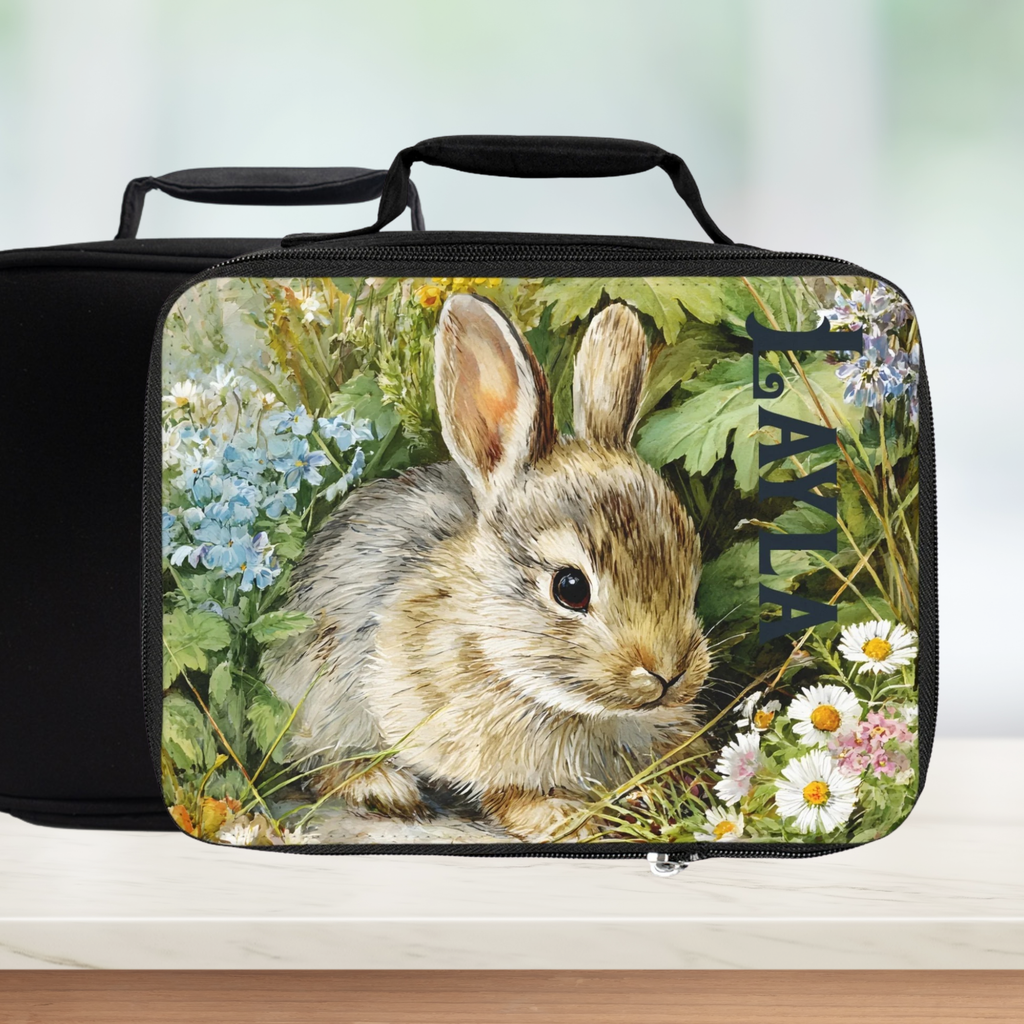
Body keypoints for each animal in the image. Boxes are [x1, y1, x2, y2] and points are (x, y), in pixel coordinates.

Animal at [262, 293, 711, 841]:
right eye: (570, 588)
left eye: (689, 559)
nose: (670, 675)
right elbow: (505, 792)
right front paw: (565, 818)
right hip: (318, 697)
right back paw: (382, 787)